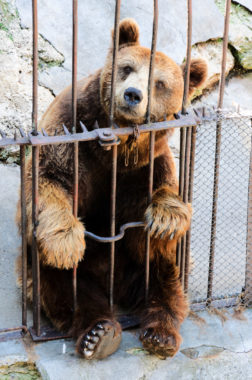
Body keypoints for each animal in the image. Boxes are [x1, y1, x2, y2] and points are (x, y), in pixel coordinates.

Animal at [16, 18, 208, 360]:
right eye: (127, 68)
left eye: (159, 83)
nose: (132, 94)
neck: (115, 146)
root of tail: (114, 290)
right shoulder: (70, 134)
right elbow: (47, 178)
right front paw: (66, 242)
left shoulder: (145, 167)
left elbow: (162, 204)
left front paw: (166, 219)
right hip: (59, 269)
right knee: (60, 287)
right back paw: (99, 334)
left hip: (141, 268)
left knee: (165, 276)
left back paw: (161, 334)